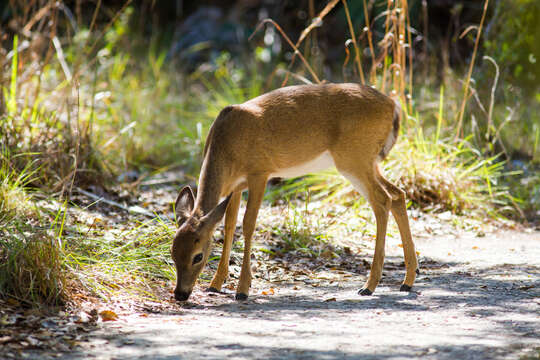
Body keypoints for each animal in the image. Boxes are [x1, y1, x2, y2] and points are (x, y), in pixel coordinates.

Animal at [171, 82, 420, 300]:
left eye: (198, 256)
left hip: (354, 158)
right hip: (367, 161)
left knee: (382, 200)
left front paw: (242, 289)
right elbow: (229, 226)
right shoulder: (235, 186)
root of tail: (393, 106)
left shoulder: (259, 173)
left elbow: (249, 224)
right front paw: (215, 284)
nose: (180, 294)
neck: (226, 148)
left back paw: (369, 286)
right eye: (173, 253)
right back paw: (407, 281)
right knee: (398, 194)